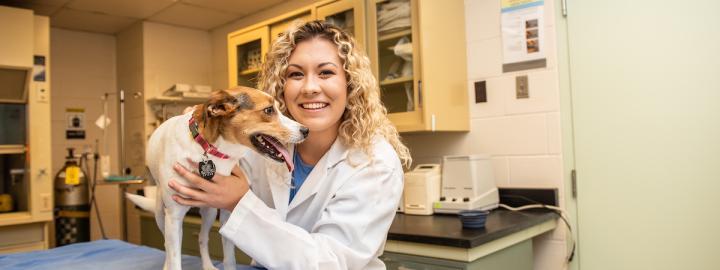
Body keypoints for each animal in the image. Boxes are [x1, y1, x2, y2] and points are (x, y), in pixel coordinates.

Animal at [126, 87, 306, 270]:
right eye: (269, 110)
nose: (306, 131)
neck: (210, 149)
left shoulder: (228, 212)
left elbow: (229, 258)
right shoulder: (174, 216)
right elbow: (174, 258)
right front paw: (171, 264)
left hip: (210, 212)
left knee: (202, 238)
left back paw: (207, 265)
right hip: (160, 214)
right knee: (167, 246)